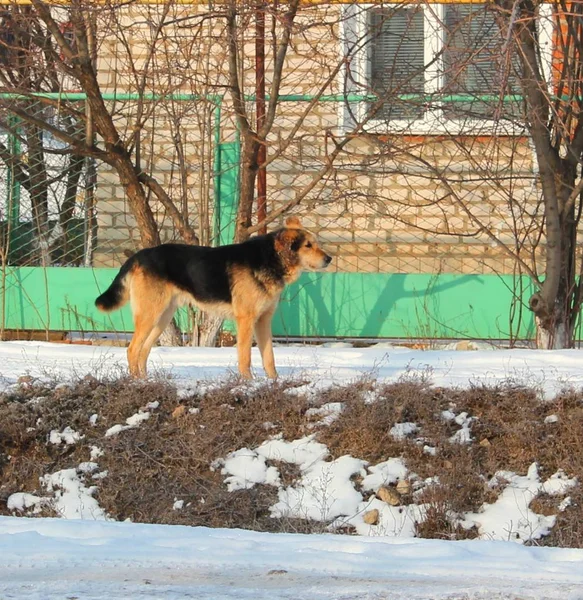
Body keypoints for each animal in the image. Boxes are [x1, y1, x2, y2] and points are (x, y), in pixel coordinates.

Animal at [96, 217, 334, 380]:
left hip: (162, 319)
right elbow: (245, 356)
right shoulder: (246, 320)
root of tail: (138, 255)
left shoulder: (263, 321)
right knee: (132, 349)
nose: (329, 259)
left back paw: (145, 381)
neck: (271, 259)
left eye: (316, 243)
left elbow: (269, 357)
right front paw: (248, 382)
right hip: (150, 315)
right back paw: (136, 382)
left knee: (143, 351)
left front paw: (273, 382)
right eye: (308, 246)